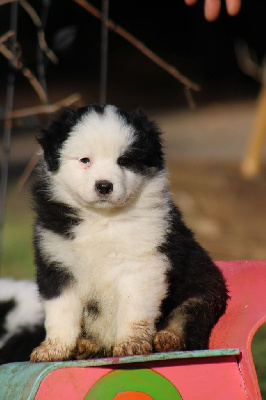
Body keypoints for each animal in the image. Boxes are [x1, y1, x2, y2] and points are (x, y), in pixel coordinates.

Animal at [30, 104, 228, 360]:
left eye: (124, 160)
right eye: (85, 160)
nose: (104, 186)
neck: (101, 218)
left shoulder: (142, 261)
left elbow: (134, 306)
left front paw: (131, 343)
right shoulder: (57, 262)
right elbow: (60, 310)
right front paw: (53, 348)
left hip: (203, 289)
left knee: (186, 316)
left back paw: (168, 338)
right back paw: (86, 344)